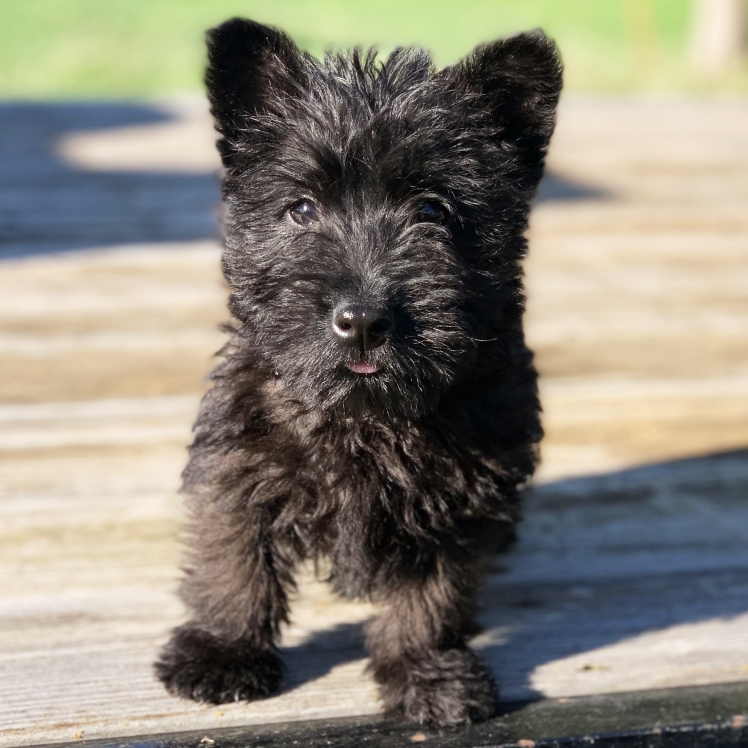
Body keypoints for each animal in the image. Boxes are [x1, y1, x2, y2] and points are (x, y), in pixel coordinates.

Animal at [155, 20, 560, 728]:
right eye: (301, 209)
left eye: (431, 211)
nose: (364, 320)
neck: (366, 414)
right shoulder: (238, 463)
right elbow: (232, 560)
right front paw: (221, 653)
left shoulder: (460, 501)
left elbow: (431, 599)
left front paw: (427, 675)